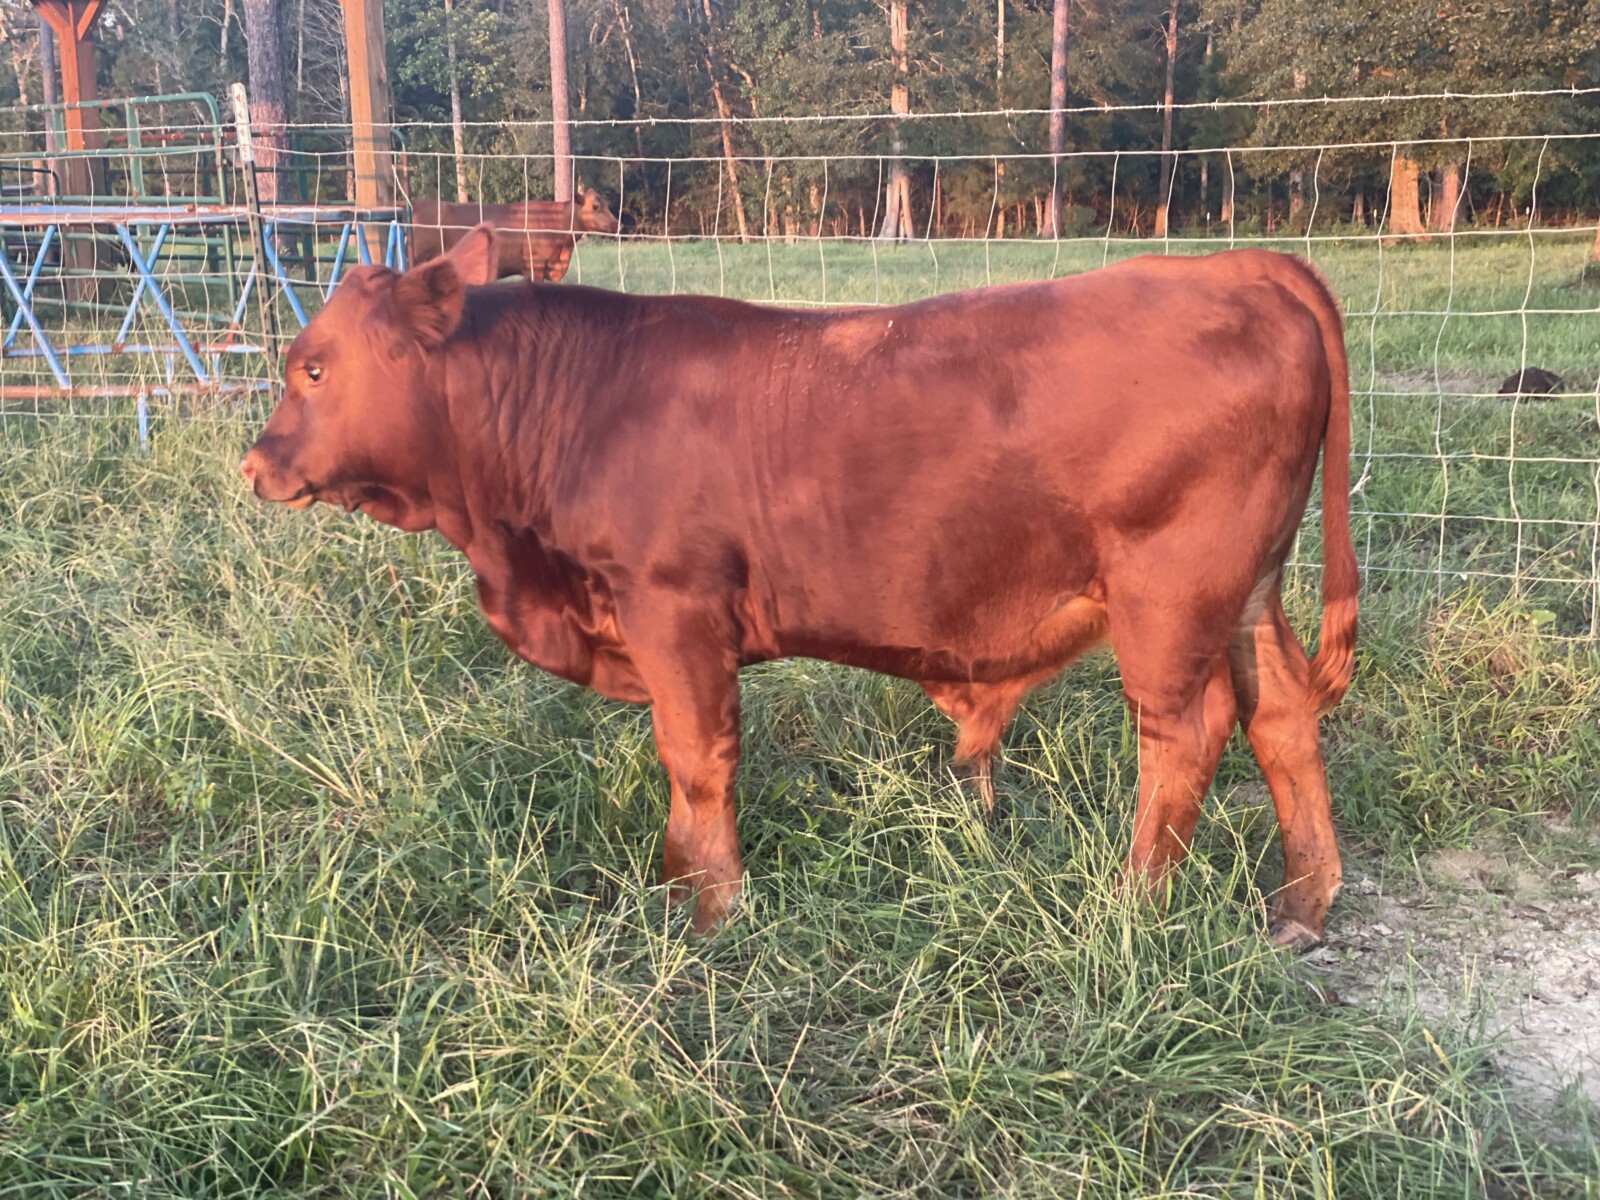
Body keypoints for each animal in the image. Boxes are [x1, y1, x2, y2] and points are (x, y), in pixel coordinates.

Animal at [241, 227, 1358, 950]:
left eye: (313, 369)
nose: (253, 465)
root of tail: (1244, 264)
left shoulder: (674, 608)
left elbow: (696, 758)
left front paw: (708, 910)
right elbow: (682, 766)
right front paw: (673, 880)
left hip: (1169, 597)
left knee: (1187, 733)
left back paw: (1131, 906)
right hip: (1247, 592)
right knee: (1280, 717)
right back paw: (1301, 907)